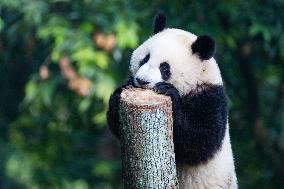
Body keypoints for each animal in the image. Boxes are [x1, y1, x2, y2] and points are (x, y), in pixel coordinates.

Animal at [106, 12, 237, 188]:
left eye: (164, 68)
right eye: (145, 59)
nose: (142, 81)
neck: (197, 79)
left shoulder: (210, 97)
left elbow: (200, 142)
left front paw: (169, 93)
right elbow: (118, 128)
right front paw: (118, 93)